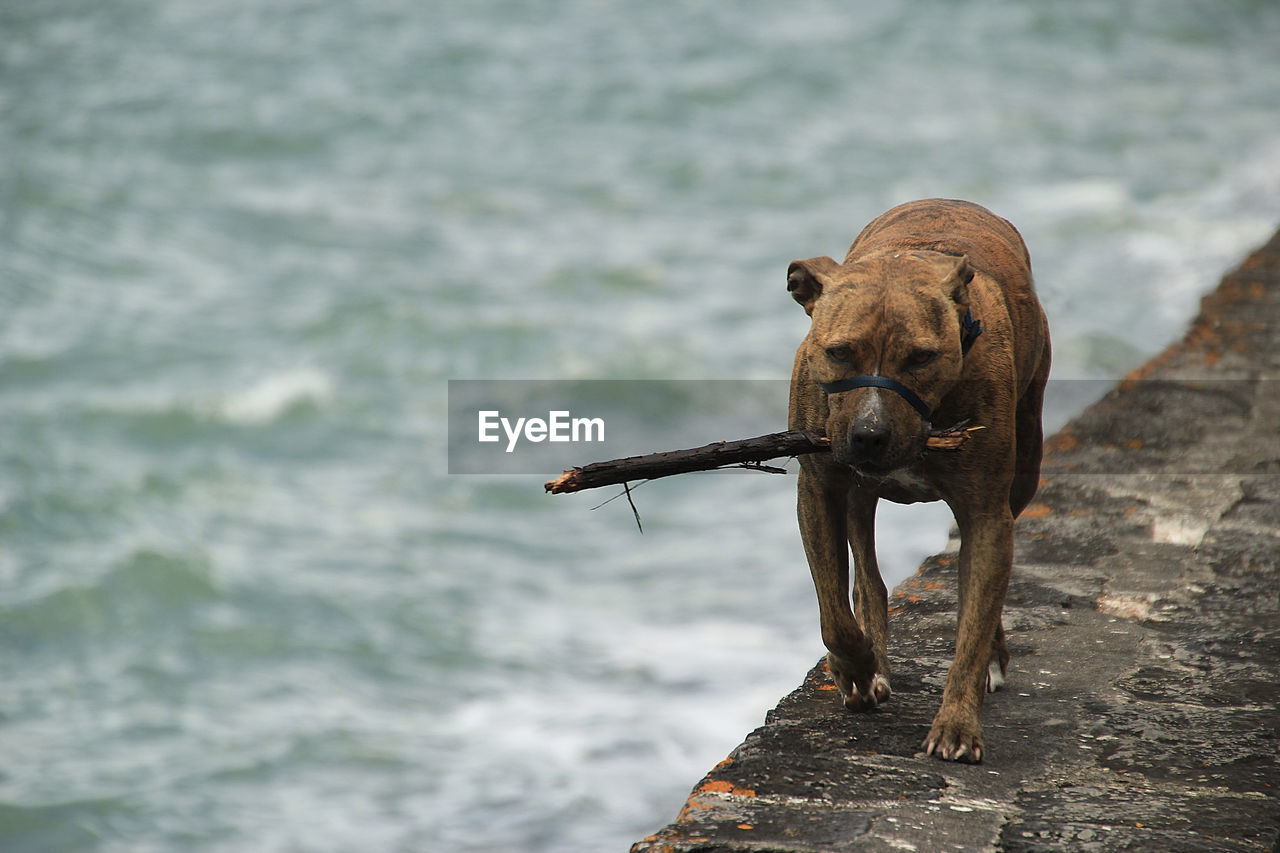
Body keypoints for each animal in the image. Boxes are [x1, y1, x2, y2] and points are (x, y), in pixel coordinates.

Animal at [788, 197, 1049, 758]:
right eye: (839, 351)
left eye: (921, 357)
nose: (870, 434)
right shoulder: (818, 490)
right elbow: (834, 614)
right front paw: (857, 669)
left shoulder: (986, 513)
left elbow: (972, 623)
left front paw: (957, 723)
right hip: (857, 495)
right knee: (867, 578)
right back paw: (873, 663)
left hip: (1024, 467)